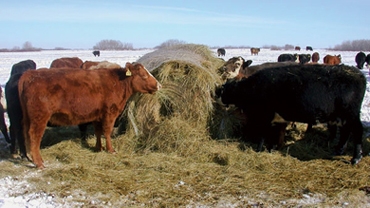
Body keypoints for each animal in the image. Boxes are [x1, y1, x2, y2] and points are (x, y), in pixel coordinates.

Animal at [18, 62, 161, 169]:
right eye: (143, 75)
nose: (159, 85)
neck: (117, 82)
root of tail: (29, 74)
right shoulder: (110, 113)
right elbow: (107, 132)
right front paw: (111, 150)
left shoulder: (97, 115)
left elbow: (98, 132)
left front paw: (98, 148)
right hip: (39, 118)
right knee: (34, 136)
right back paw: (39, 163)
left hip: (27, 118)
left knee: (26, 135)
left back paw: (32, 158)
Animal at [220, 63, 368, 164]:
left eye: (226, 89)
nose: (220, 97)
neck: (253, 87)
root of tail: (357, 73)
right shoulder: (275, 119)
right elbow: (274, 135)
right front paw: (271, 148)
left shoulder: (265, 116)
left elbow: (263, 134)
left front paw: (259, 149)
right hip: (343, 116)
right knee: (345, 132)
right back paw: (338, 150)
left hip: (351, 114)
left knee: (357, 131)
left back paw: (356, 158)